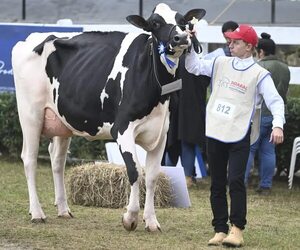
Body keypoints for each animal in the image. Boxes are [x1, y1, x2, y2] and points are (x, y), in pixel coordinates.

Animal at [11, 2, 204, 231]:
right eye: (155, 23)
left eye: (183, 21)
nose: (181, 37)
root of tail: (33, 36)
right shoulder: (122, 128)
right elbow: (135, 171)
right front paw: (130, 217)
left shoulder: (161, 132)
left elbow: (152, 176)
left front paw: (151, 221)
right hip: (30, 113)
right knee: (29, 159)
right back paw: (37, 212)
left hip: (61, 120)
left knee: (57, 160)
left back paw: (64, 209)